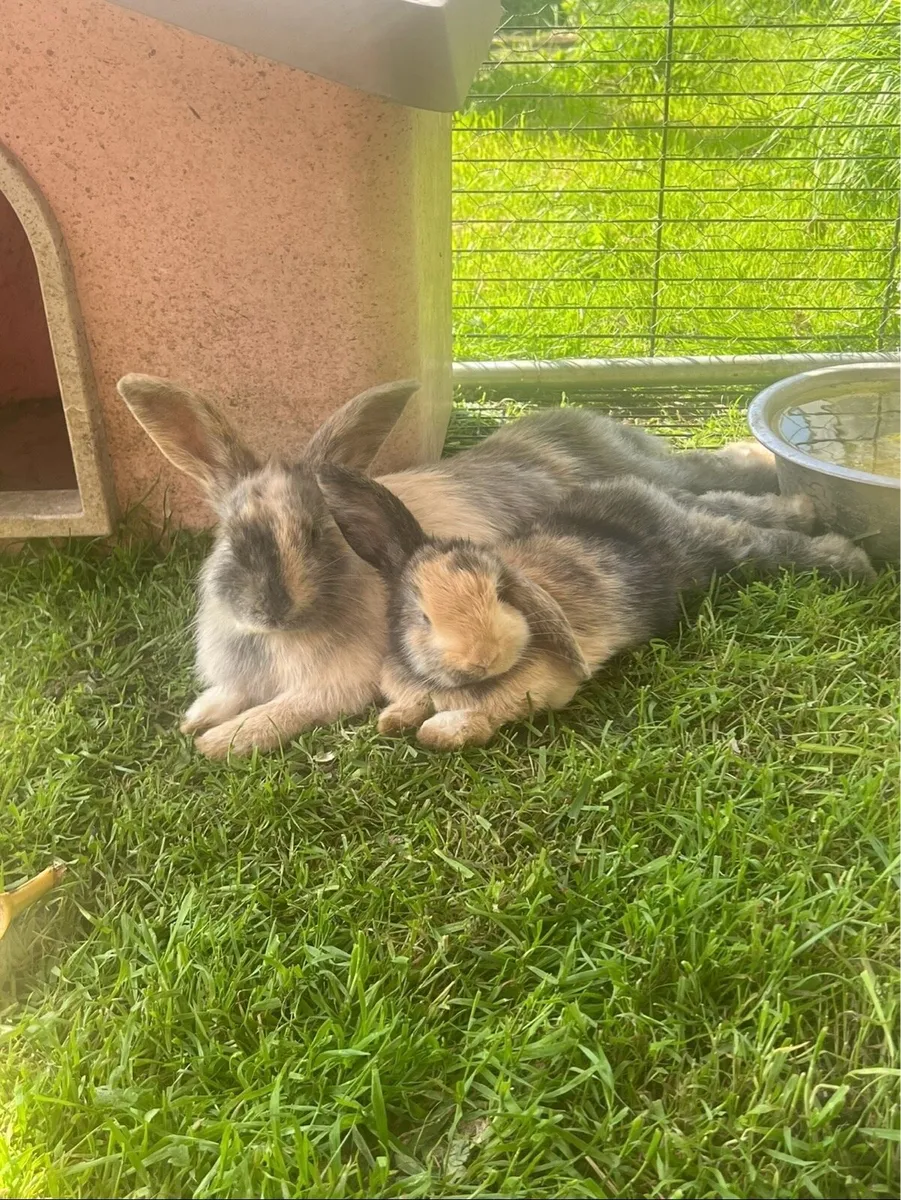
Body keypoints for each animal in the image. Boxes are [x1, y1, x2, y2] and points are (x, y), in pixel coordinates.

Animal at [118, 373, 786, 759]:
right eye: (230, 534)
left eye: (315, 533)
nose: (268, 609)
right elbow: (229, 694)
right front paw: (195, 720)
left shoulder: (337, 686)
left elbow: (282, 712)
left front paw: (221, 742)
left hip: (674, 478)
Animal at [315, 463, 876, 752]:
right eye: (422, 615)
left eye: (502, 593)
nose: (485, 657)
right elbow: (402, 709)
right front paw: (394, 721)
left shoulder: (537, 690)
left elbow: (471, 719)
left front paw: (439, 732)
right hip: (696, 518)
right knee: (733, 505)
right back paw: (805, 508)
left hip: (712, 549)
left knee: (761, 540)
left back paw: (849, 556)